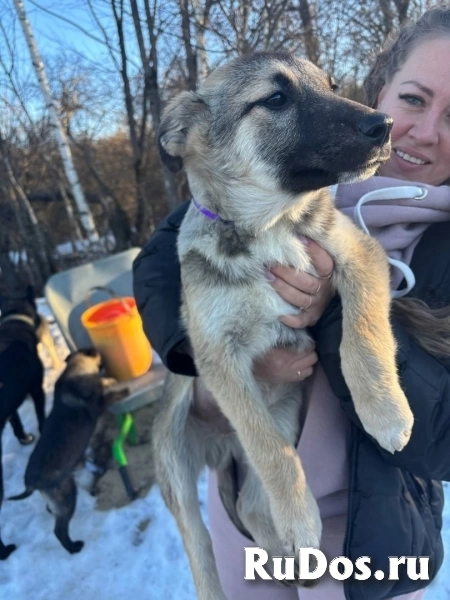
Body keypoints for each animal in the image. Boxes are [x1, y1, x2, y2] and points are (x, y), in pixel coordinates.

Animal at [9, 350, 128, 556]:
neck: (74, 370)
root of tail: (31, 483)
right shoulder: (98, 404)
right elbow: (108, 393)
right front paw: (119, 388)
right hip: (67, 496)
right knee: (59, 530)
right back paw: (73, 548)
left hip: (60, 497)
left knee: (52, 511)